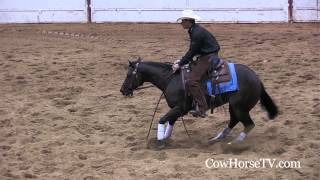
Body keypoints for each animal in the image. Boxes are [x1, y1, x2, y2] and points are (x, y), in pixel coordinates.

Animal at [120, 57, 278, 148]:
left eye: (128, 75)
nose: (122, 90)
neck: (171, 79)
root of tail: (257, 79)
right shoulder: (178, 109)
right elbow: (170, 121)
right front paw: (165, 138)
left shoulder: (180, 107)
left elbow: (162, 119)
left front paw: (159, 141)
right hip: (235, 107)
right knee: (234, 121)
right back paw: (217, 138)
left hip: (239, 107)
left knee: (249, 124)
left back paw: (234, 144)